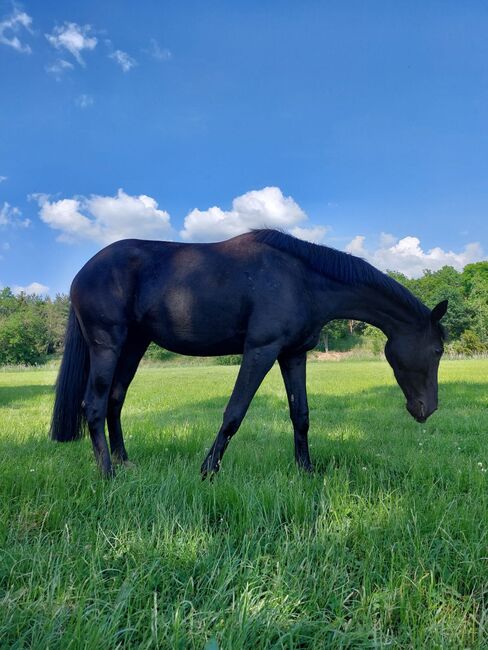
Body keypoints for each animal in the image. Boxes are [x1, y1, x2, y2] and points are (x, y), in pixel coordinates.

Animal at [51, 228, 448, 476]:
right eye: (438, 349)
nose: (428, 408)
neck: (302, 280)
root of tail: (83, 273)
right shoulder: (261, 350)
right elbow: (234, 413)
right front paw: (208, 471)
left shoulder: (293, 354)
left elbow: (301, 414)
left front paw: (306, 470)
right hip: (107, 344)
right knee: (95, 404)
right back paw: (107, 473)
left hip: (134, 345)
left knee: (115, 400)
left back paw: (124, 462)